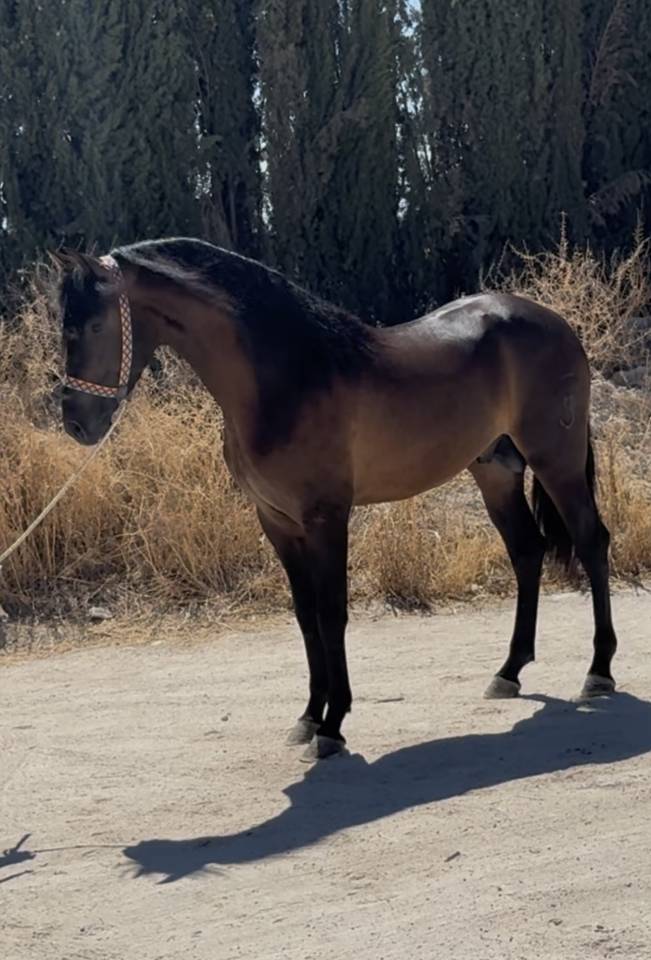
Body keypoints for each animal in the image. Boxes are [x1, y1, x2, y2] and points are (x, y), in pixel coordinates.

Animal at [51, 239, 618, 759]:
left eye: (93, 327)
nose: (77, 423)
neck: (283, 379)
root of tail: (555, 323)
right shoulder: (277, 521)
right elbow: (305, 616)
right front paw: (307, 717)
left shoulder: (327, 518)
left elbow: (332, 614)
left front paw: (333, 725)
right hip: (496, 470)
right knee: (526, 552)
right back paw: (509, 672)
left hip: (557, 460)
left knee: (592, 542)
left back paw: (598, 672)